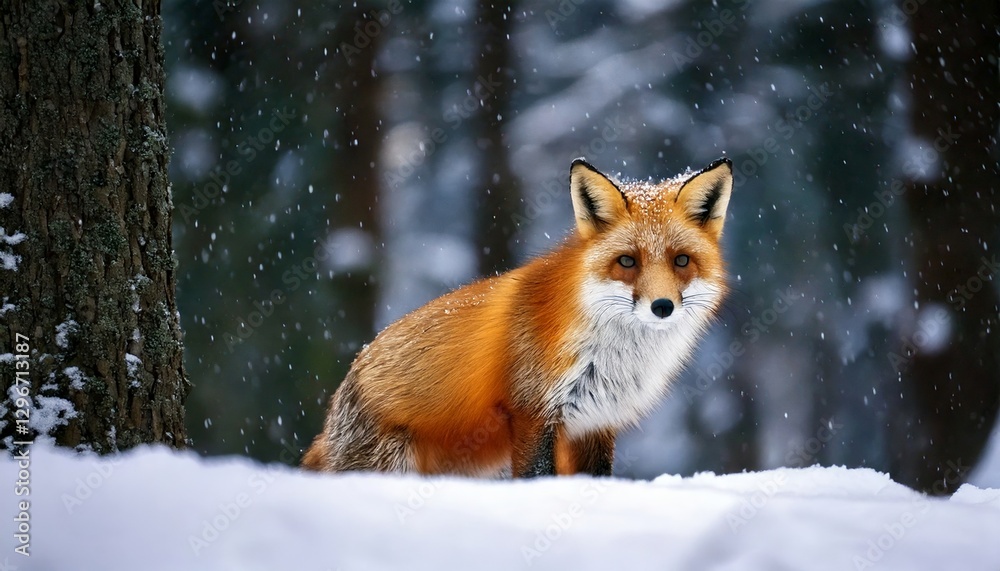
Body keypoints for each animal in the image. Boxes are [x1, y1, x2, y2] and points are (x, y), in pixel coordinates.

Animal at [302, 157, 734, 478]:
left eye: (681, 261)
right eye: (627, 262)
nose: (663, 306)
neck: (614, 355)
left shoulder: (594, 421)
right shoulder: (532, 410)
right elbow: (535, 476)